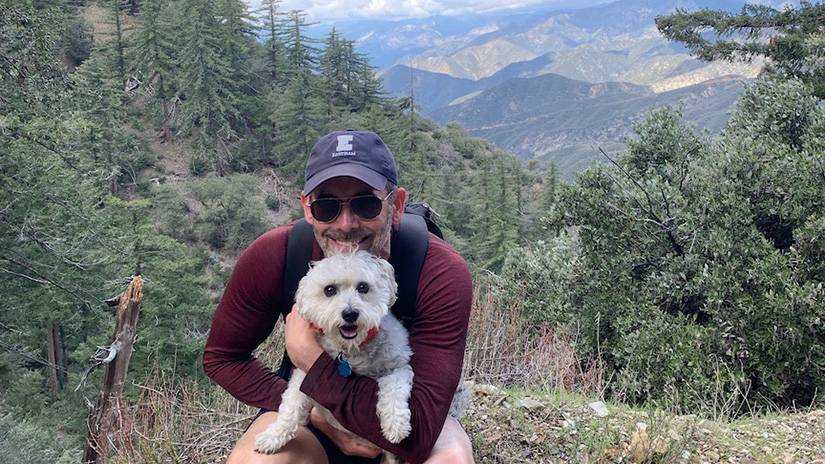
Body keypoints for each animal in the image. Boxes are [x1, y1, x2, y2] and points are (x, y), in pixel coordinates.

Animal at [253, 250, 412, 460]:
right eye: (329, 290)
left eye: (363, 287)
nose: (350, 314)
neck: (350, 350)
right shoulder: (305, 374)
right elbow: (291, 406)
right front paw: (273, 436)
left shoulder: (399, 366)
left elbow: (394, 389)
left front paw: (396, 424)